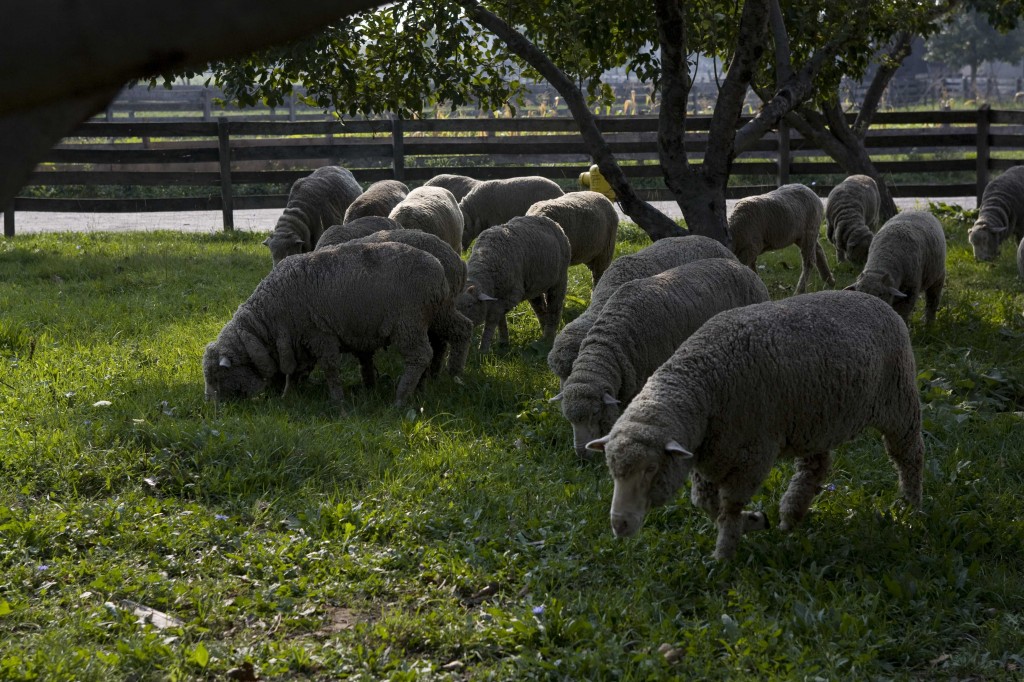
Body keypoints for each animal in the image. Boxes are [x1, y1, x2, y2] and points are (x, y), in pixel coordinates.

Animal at [202, 241, 470, 407]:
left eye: (218, 375)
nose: (212, 409)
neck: (267, 320)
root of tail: (439, 268)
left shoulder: (320, 334)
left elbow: (330, 369)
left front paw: (337, 403)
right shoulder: (297, 341)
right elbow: (293, 372)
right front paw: (288, 396)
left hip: (409, 322)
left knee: (420, 355)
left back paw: (401, 397)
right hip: (439, 313)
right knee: (462, 329)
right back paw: (451, 375)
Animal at [456, 215, 571, 353]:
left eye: (470, 306)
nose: (459, 329)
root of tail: (550, 221)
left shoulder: (511, 295)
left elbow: (493, 318)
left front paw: (484, 348)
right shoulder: (499, 297)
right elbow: (500, 319)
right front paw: (503, 342)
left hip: (559, 279)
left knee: (555, 309)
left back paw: (549, 338)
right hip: (533, 285)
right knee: (540, 308)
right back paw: (543, 334)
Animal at [586, 290, 924, 560]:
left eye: (651, 469)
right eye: (612, 470)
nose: (619, 525)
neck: (701, 385)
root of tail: (875, 300)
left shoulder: (752, 457)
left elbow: (729, 507)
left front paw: (724, 553)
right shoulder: (710, 457)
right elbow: (705, 503)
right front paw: (755, 522)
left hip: (899, 402)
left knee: (909, 455)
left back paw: (909, 505)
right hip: (815, 419)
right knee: (814, 468)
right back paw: (791, 515)